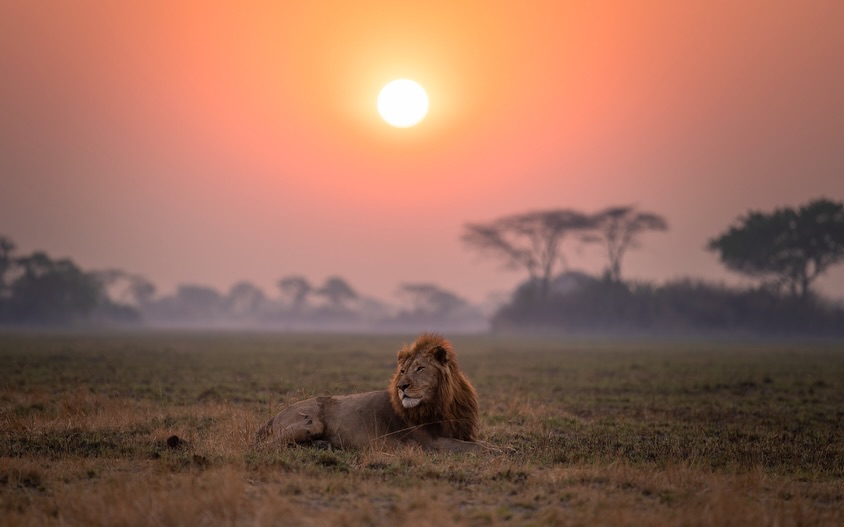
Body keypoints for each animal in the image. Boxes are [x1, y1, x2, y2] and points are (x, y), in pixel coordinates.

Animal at [256, 333, 488, 452]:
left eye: (420, 368)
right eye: (402, 371)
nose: (401, 387)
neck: (444, 402)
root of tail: (275, 415)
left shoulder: (461, 432)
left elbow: (482, 444)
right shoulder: (432, 442)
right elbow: (475, 449)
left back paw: (323, 445)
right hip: (310, 423)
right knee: (266, 446)